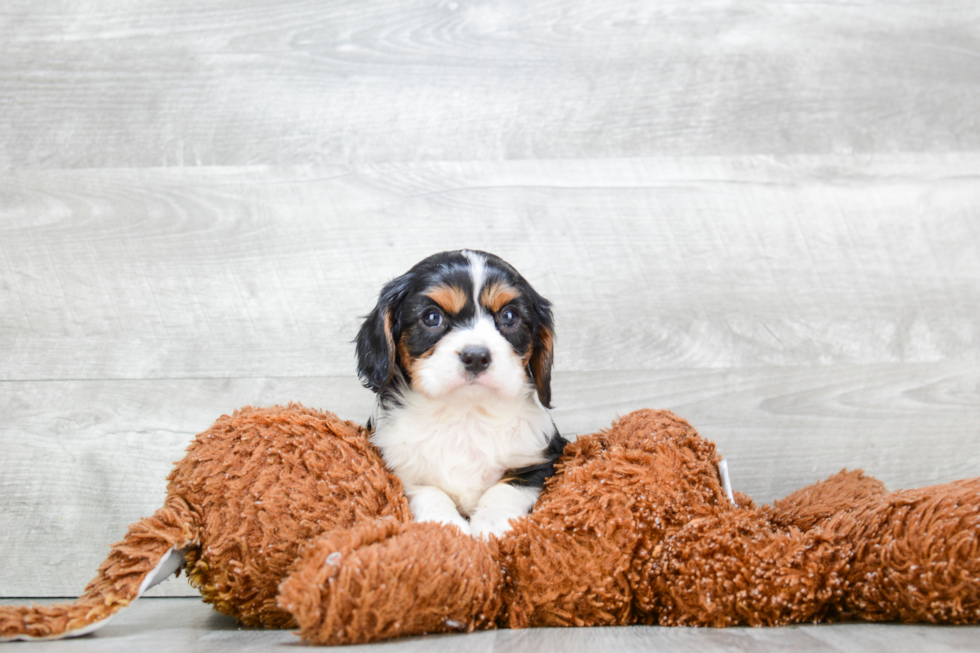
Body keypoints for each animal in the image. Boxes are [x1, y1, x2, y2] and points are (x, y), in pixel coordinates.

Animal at [356, 248, 568, 536]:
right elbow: (430, 493)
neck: (465, 412)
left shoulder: (542, 460)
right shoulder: (400, 471)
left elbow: (507, 487)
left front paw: (491, 526)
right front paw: (447, 529)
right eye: (432, 317)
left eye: (509, 317)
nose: (476, 356)